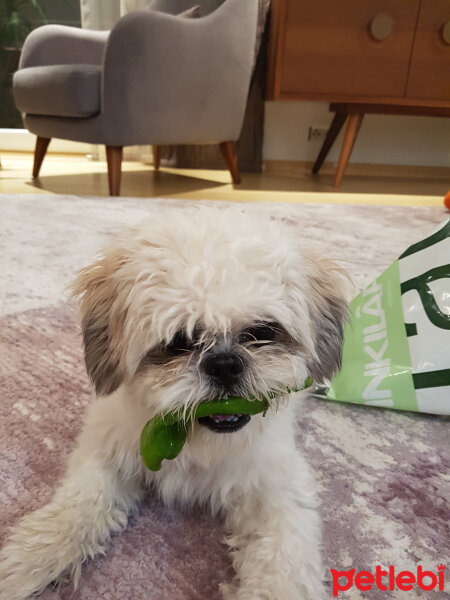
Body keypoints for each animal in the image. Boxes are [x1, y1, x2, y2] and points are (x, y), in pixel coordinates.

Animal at [0, 204, 348, 596]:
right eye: (179, 341)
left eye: (261, 332)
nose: (225, 364)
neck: (195, 440)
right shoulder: (110, 449)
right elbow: (81, 503)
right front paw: (37, 553)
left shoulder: (277, 486)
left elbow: (283, 562)